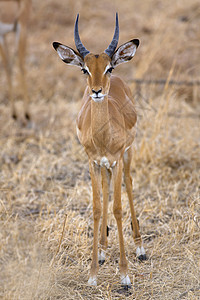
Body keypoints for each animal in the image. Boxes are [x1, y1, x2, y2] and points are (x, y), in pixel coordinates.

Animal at [52, 13, 146, 288]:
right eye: (85, 69)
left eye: (108, 68)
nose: (96, 91)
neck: (103, 137)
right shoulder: (92, 162)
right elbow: (96, 208)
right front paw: (93, 274)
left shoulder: (116, 159)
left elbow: (117, 208)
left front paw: (125, 276)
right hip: (104, 166)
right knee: (105, 190)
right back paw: (103, 251)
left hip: (127, 155)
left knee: (128, 183)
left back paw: (140, 249)